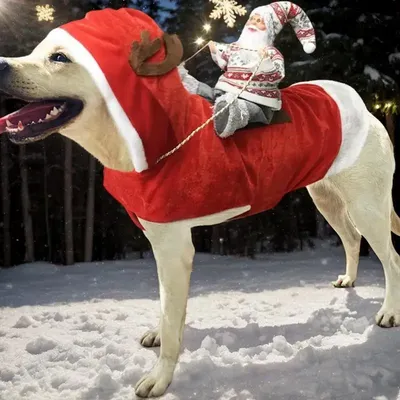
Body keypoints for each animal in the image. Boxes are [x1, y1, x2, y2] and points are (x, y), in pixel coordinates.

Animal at [0, 7, 398, 398]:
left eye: (60, 57)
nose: (2, 63)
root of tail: (370, 113)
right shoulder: (161, 244)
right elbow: (166, 307)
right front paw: (160, 336)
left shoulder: (173, 248)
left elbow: (171, 319)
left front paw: (159, 379)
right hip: (327, 200)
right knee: (351, 239)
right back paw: (349, 281)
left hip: (367, 206)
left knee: (390, 258)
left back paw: (389, 312)